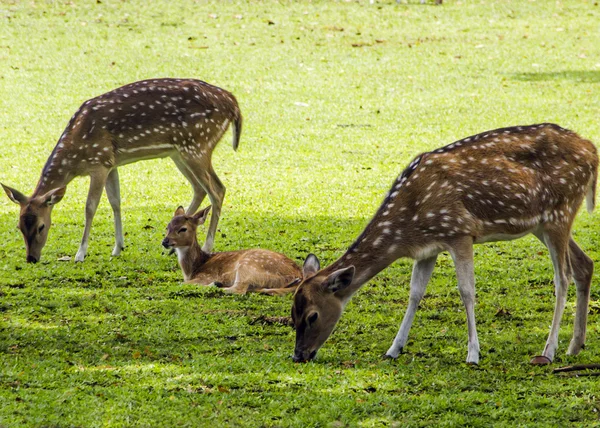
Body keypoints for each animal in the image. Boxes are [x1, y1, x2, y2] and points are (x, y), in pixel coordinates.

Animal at [2, 78, 241, 262]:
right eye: (19, 226)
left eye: (41, 226)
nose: (31, 258)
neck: (75, 156)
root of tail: (234, 104)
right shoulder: (111, 164)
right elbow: (115, 202)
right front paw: (118, 248)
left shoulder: (99, 162)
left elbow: (90, 207)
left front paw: (80, 254)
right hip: (179, 153)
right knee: (199, 189)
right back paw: (174, 246)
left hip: (197, 145)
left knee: (217, 189)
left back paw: (207, 247)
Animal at [162, 206, 302, 294]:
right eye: (167, 227)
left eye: (183, 229)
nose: (165, 241)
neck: (192, 269)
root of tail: (298, 275)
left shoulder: (206, 276)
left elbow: (181, 283)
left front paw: (215, 283)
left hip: (248, 265)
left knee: (238, 289)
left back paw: (217, 285)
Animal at [290, 123, 596, 364]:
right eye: (292, 313)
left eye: (313, 316)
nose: (299, 356)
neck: (409, 224)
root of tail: (592, 150)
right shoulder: (427, 249)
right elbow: (415, 293)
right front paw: (393, 349)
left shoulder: (459, 231)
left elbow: (466, 291)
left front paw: (473, 354)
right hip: (542, 225)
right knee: (585, 264)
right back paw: (575, 346)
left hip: (561, 211)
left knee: (563, 277)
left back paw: (549, 351)